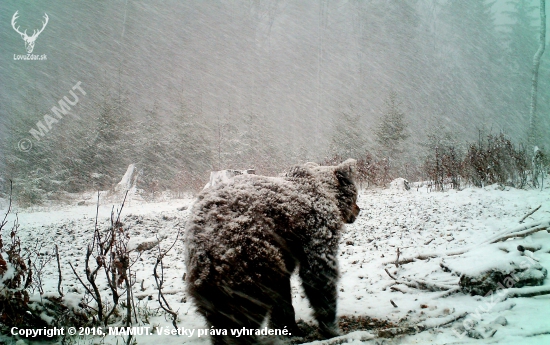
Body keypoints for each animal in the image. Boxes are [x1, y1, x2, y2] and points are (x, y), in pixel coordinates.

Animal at [185, 158, 362, 342]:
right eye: (356, 194)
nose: (358, 210)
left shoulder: (284, 250)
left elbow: (282, 293)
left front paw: (288, 328)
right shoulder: (316, 229)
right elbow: (319, 275)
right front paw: (331, 329)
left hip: (205, 271)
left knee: (218, 312)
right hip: (248, 252)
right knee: (244, 308)